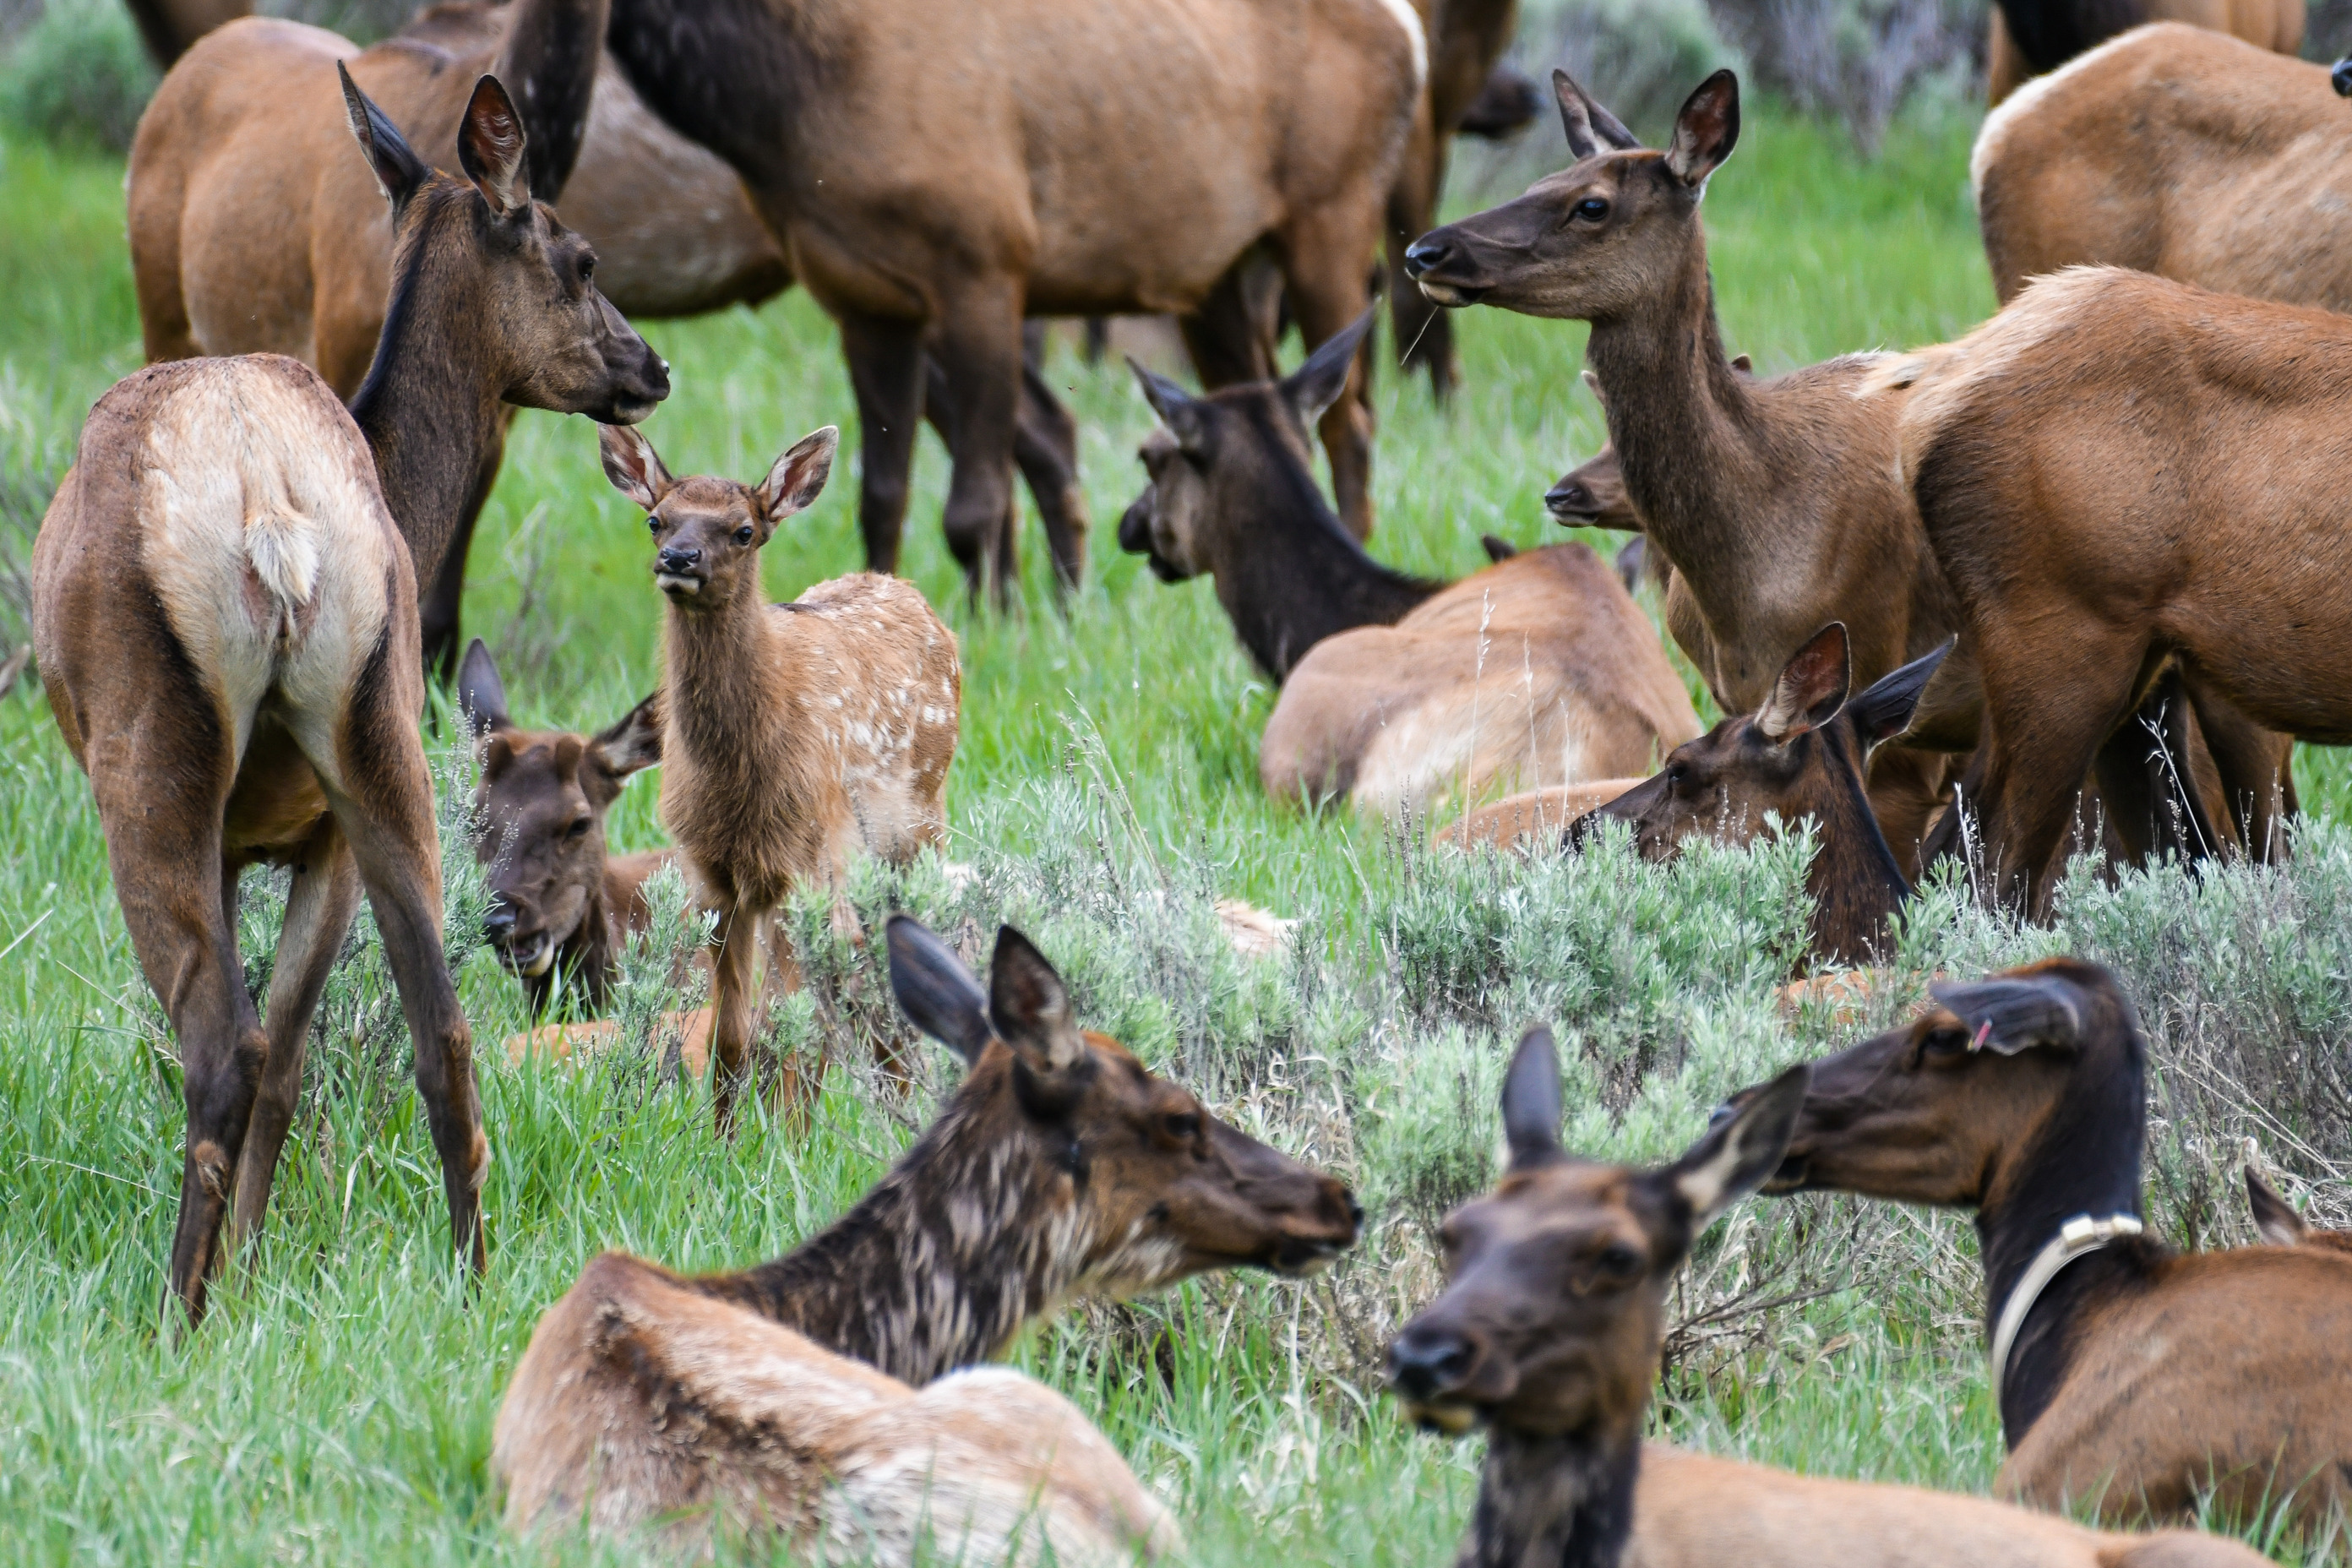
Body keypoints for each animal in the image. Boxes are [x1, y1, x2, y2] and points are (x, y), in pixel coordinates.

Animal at [31, 68, 667, 1324]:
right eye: (581, 258)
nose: (652, 368)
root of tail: (272, 512)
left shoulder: (251, 832)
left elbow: (262, 1049)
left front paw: (237, 1273)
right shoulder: (310, 830)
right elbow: (297, 1051)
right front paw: (258, 1261)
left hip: (154, 761)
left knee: (217, 1050)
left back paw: (179, 1318)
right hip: (378, 739)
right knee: (440, 1028)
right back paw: (472, 1281)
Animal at [595, 422, 959, 1131]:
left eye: (743, 530)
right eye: (656, 520)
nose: (679, 559)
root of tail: (903, 587)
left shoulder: (802, 863)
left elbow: (787, 1030)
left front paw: (784, 1139)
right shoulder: (713, 875)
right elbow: (732, 1033)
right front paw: (722, 1138)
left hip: (918, 829)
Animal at [601, 0, 1420, 601]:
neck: (796, 103)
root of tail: (1409, 30)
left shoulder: (985, 266)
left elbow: (973, 507)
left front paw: (996, 620)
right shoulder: (863, 301)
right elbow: (880, 496)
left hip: (1332, 213)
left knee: (1352, 420)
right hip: (1214, 276)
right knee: (1268, 404)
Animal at [1398, 68, 2292, 883]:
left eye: (1592, 205)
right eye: (1537, 181)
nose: (1425, 249)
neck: (1748, 554)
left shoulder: (1882, 694)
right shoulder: (1742, 704)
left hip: (2233, 676)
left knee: (2263, 839)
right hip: (2135, 699)